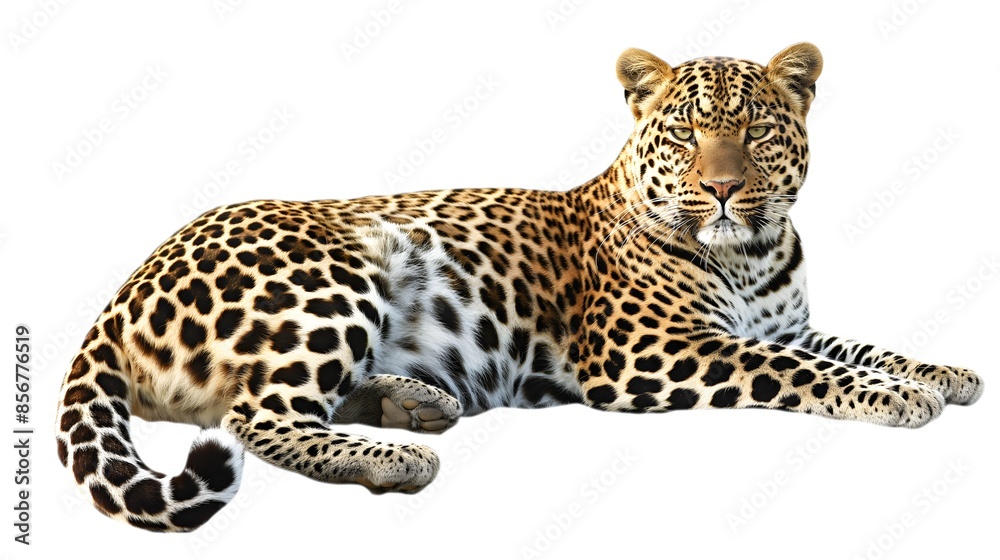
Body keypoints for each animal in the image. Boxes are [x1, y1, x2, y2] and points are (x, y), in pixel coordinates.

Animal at [55, 42, 984, 532]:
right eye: (686, 134)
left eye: (755, 131)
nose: (723, 189)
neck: (752, 251)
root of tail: (123, 289)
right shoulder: (652, 351)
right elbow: (805, 371)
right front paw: (899, 399)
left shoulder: (782, 322)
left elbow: (856, 344)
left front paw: (945, 373)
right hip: (333, 271)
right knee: (253, 416)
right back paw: (399, 457)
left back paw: (412, 403)